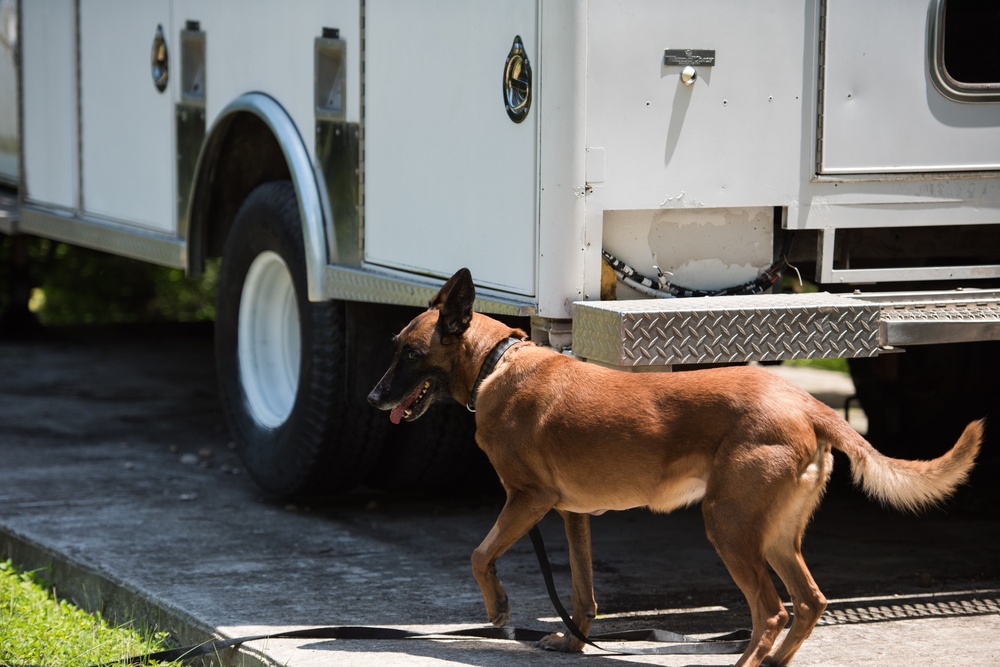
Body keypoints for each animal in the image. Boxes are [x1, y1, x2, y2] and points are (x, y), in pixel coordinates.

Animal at [368, 268, 984, 664]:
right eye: (395, 347)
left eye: (409, 354)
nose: (373, 399)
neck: (498, 364)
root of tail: (806, 402)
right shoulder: (572, 514)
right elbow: (583, 594)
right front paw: (573, 642)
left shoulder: (528, 500)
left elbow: (479, 555)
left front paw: (498, 610)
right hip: (775, 535)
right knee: (808, 604)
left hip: (729, 526)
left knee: (771, 612)